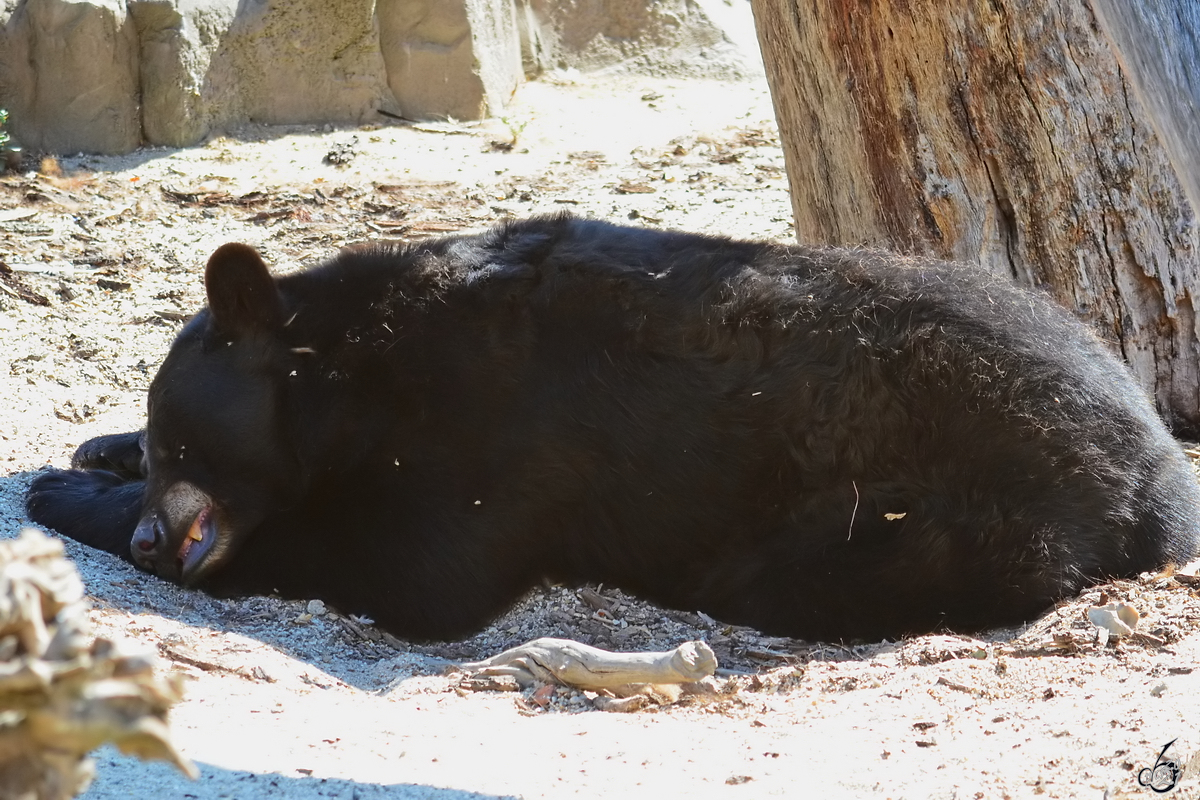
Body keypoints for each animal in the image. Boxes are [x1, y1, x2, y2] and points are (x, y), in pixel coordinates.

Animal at [25, 215, 1200, 642]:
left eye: (191, 444)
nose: (155, 535)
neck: (351, 376)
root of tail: (1159, 467)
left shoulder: (489, 436)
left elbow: (409, 568)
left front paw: (66, 492)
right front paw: (88, 450)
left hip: (952, 507)